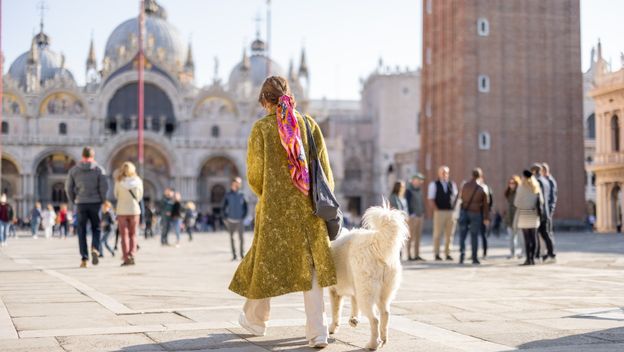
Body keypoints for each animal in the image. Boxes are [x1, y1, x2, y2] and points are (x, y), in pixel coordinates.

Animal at [326, 202, 410, 350]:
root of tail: (375, 242)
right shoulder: (354, 289)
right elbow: (354, 304)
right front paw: (353, 320)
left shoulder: (334, 291)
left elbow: (336, 312)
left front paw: (332, 328)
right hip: (383, 292)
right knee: (385, 314)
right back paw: (383, 339)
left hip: (366, 293)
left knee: (374, 319)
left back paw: (372, 344)